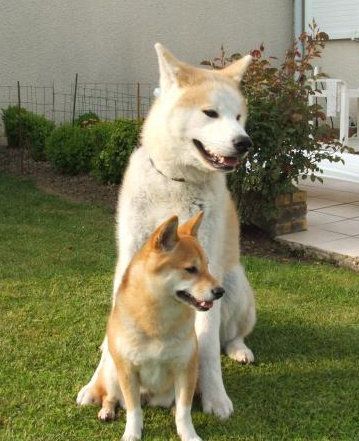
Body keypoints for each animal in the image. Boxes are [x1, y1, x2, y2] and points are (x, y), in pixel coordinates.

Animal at [97, 211, 224, 438]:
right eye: (191, 269)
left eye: (207, 266)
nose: (220, 291)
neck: (157, 322)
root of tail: (150, 399)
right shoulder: (127, 371)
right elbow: (133, 410)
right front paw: (132, 434)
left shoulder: (185, 369)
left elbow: (184, 411)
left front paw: (189, 434)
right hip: (113, 372)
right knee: (111, 396)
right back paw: (107, 410)